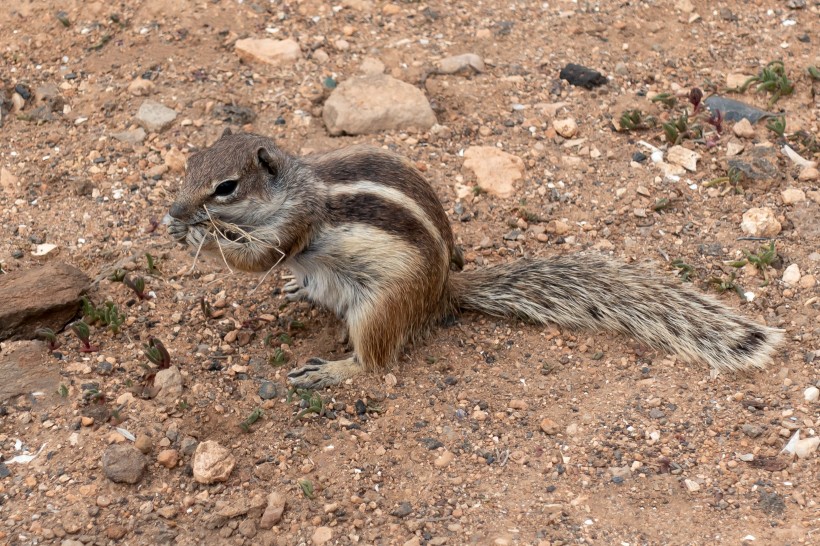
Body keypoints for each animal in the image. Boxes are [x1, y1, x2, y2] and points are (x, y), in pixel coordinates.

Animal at [165, 131, 780, 386]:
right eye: (190, 162)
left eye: (225, 187)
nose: (173, 208)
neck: (292, 186)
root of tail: (442, 292)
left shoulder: (295, 226)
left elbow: (258, 259)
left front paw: (200, 239)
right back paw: (301, 289)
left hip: (379, 308)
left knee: (375, 360)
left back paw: (335, 370)